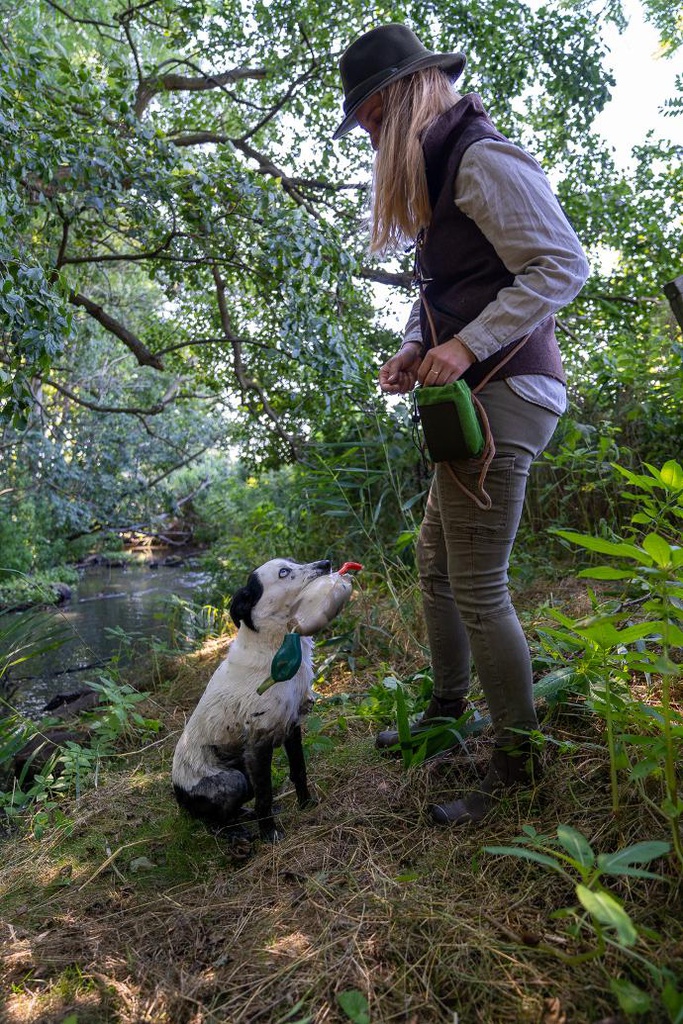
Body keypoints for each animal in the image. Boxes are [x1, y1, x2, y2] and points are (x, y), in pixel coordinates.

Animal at [172, 561, 352, 839]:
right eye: (283, 572)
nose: (326, 564)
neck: (277, 650)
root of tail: (179, 796)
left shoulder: (292, 724)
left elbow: (299, 770)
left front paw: (306, 804)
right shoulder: (259, 740)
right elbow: (265, 795)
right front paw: (269, 833)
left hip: (244, 774)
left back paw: (244, 816)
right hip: (233, 780)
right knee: (213, 820)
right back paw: (234, 832)